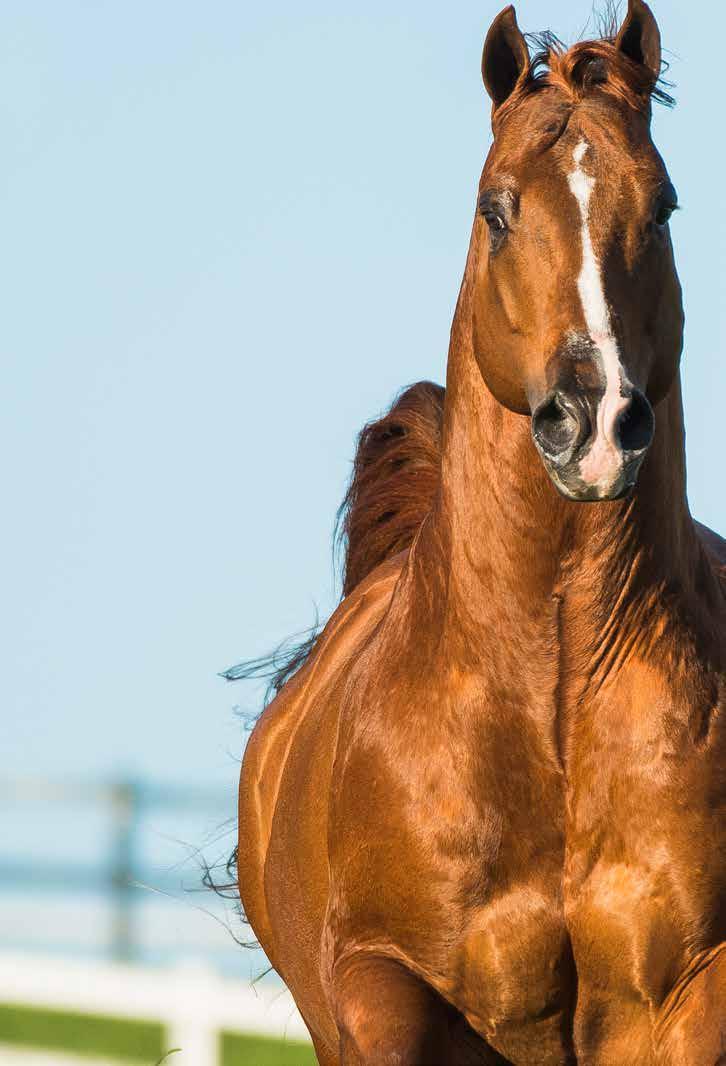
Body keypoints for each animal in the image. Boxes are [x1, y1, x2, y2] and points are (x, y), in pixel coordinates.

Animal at [234, 4, 720, 1061]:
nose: (596, 421)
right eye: (498, 210)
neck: (553, 703)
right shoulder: (383, 984)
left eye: (663, 207)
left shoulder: (696, 987)